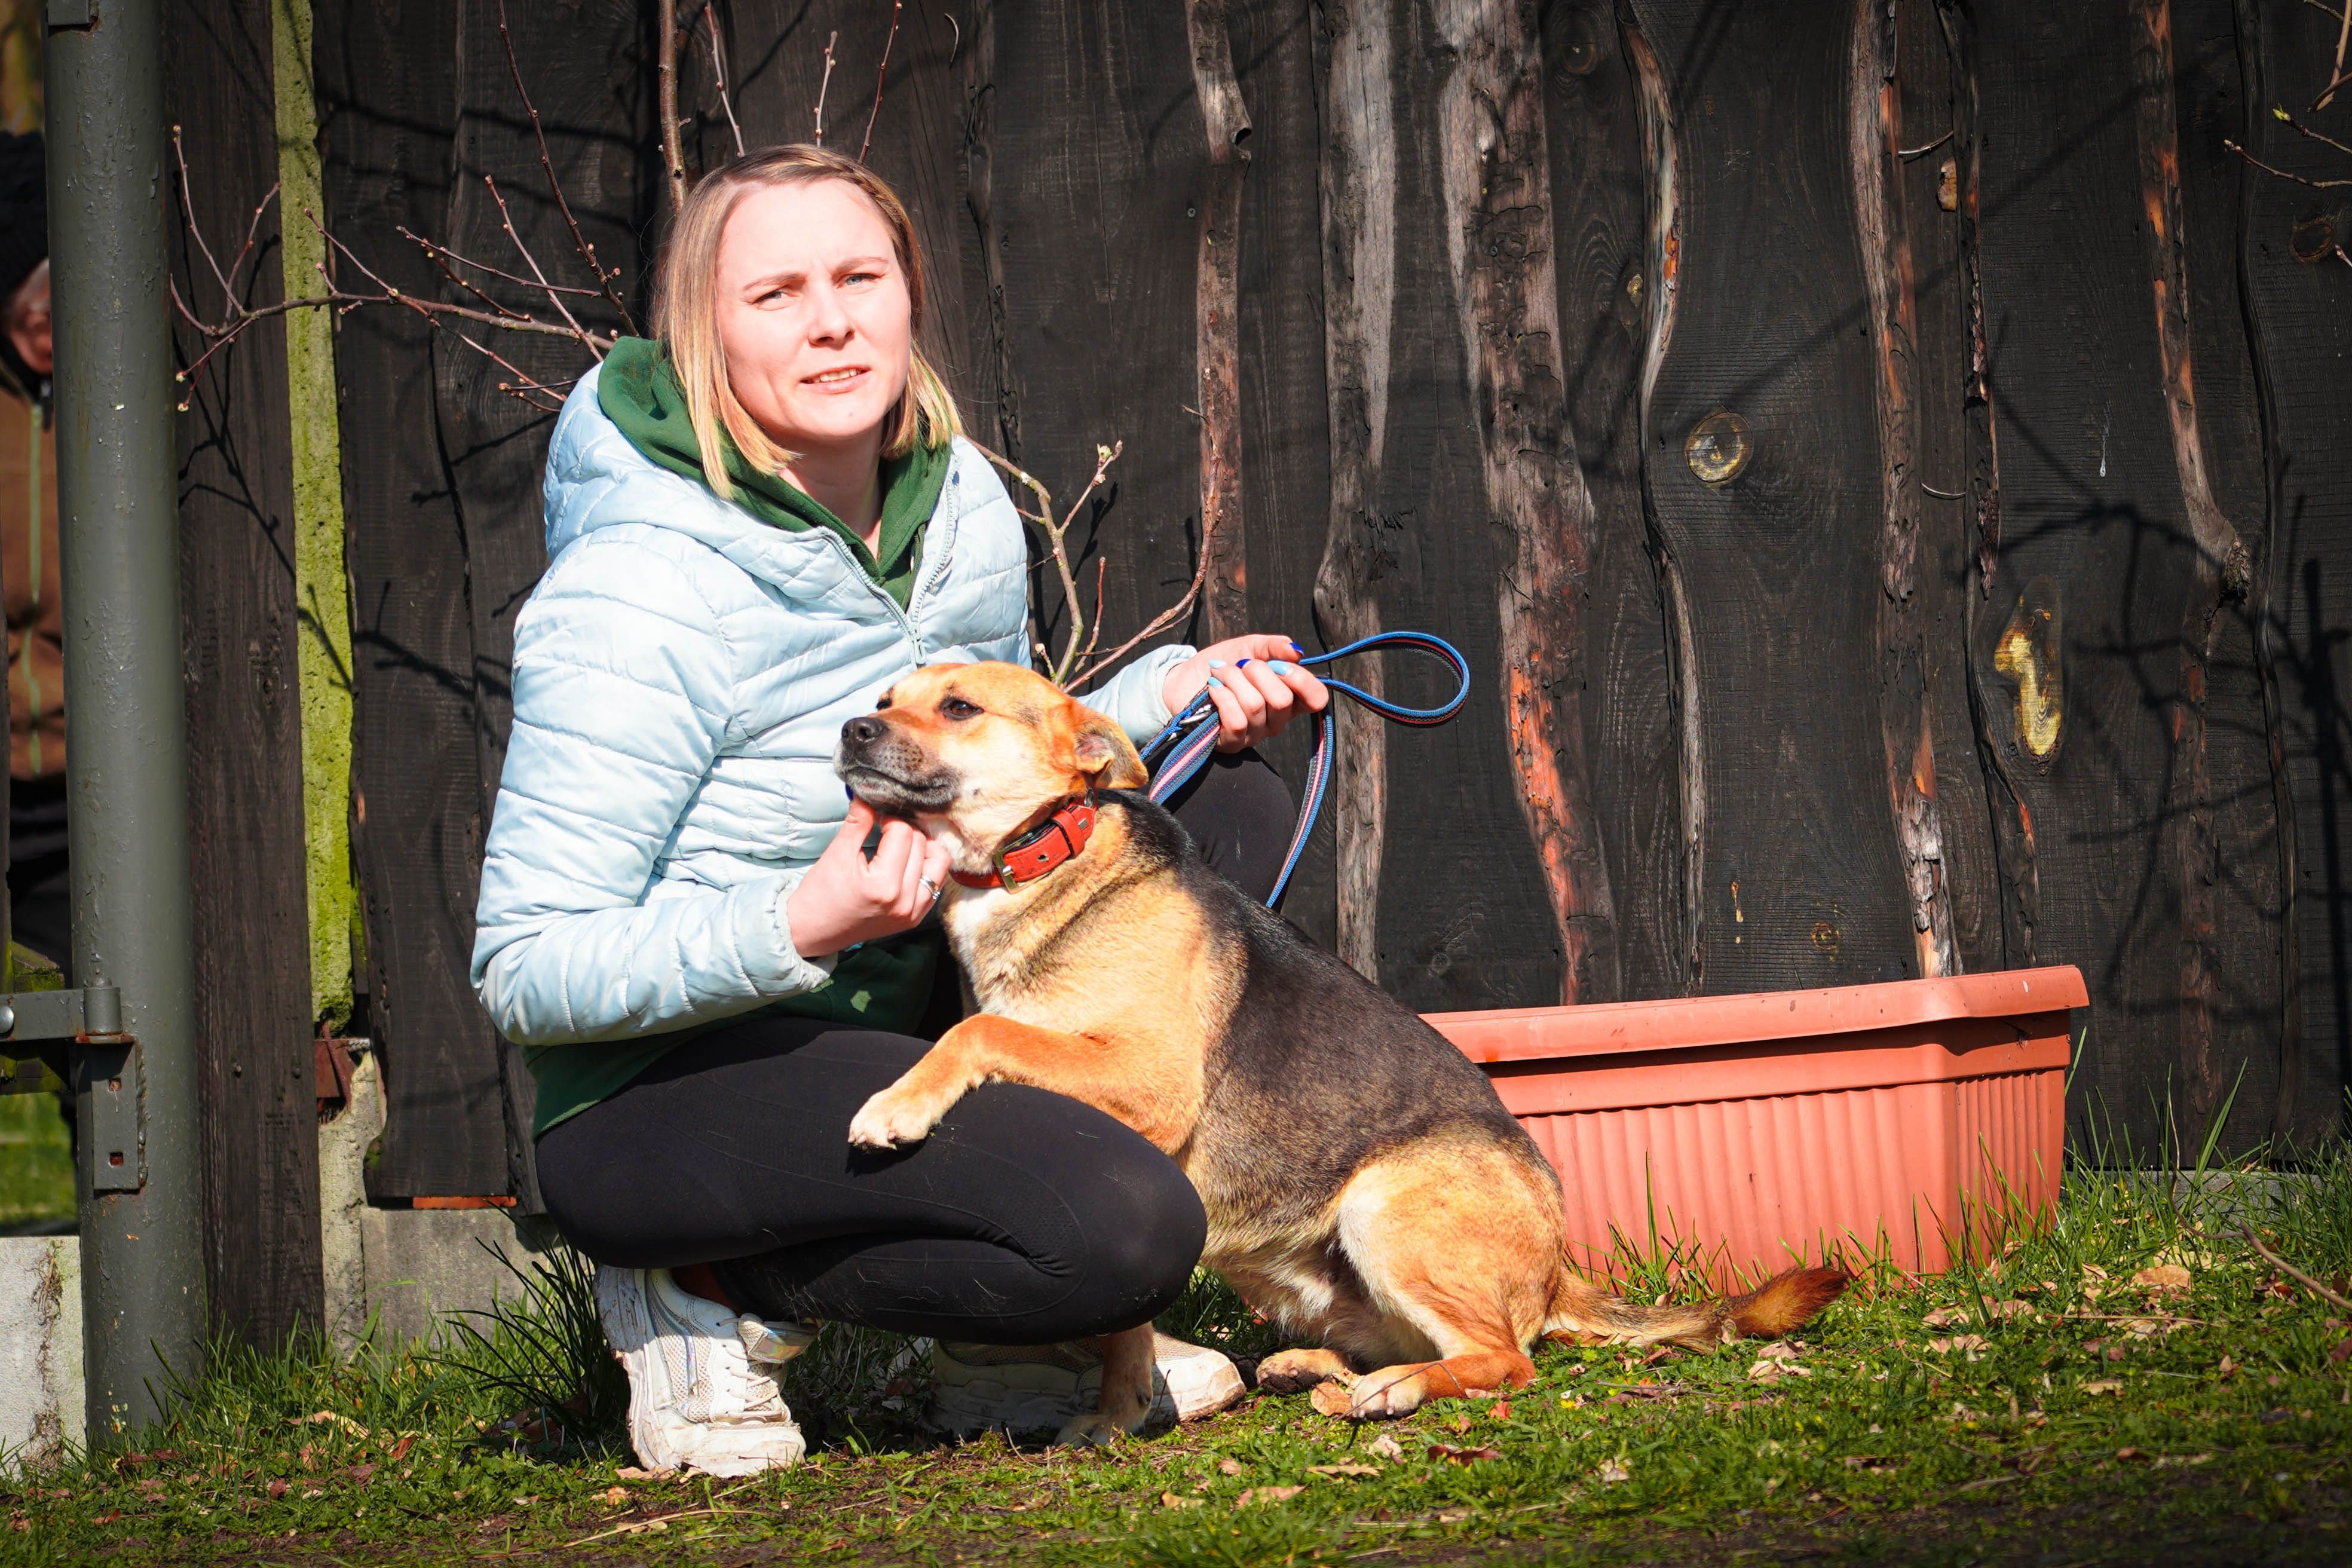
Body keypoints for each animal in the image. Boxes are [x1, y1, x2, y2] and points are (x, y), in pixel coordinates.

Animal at [837, 663, 1843, 1448]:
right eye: (887, 699)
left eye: (958, 706)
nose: (851, 728)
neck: (1039, 864)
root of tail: (1560, 1266)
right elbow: (1126, 1323)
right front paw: (1118, 1417)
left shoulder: (1148, 1085)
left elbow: (983, 1029)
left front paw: (893, 1106)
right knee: (1434, 1347)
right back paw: (1311, 1369)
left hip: (1385, 1206)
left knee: (1504, 1361)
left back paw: (1390, 1393)